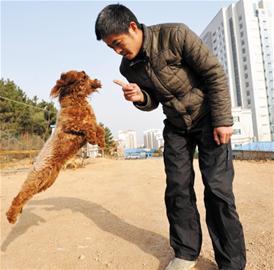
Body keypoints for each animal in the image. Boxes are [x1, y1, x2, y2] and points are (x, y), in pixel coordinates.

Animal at [6, 69, 105, 224]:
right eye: (82, 77)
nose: (86, 73)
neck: (77, 102)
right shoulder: (71, 124)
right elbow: (87, 127)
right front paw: (93, 138)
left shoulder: (92, 121)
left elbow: (99, 129)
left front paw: (100, 141)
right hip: (37, 178)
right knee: (20, 195)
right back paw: (11, 216)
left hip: (46, 182)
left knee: (25, 196)